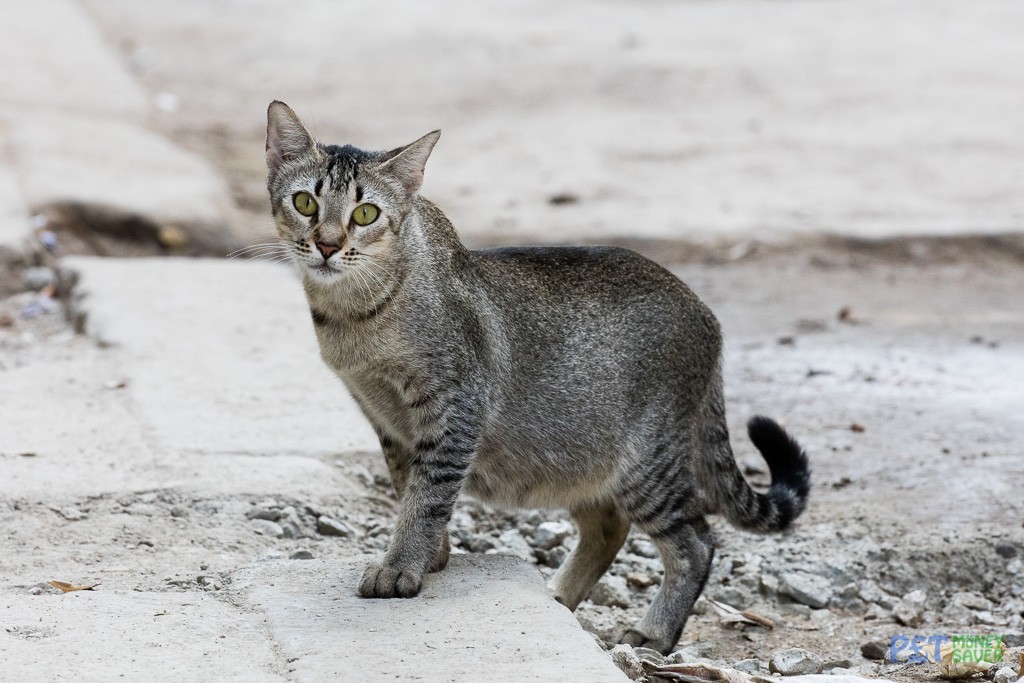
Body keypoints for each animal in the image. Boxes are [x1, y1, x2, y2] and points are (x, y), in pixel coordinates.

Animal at [268, 100, 811, 651]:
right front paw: (432, 556)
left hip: (645, 462)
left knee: (697, 541)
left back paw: (654, 633)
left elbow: (427, 494)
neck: (354, 317)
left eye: (365, 214)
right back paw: (559, 598)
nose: (327, 245)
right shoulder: (388, 421)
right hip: (577, 457)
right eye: (305, 203)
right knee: (609, 527)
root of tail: (710, 318)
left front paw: (402, 566)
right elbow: (409, 487)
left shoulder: (454, 408)